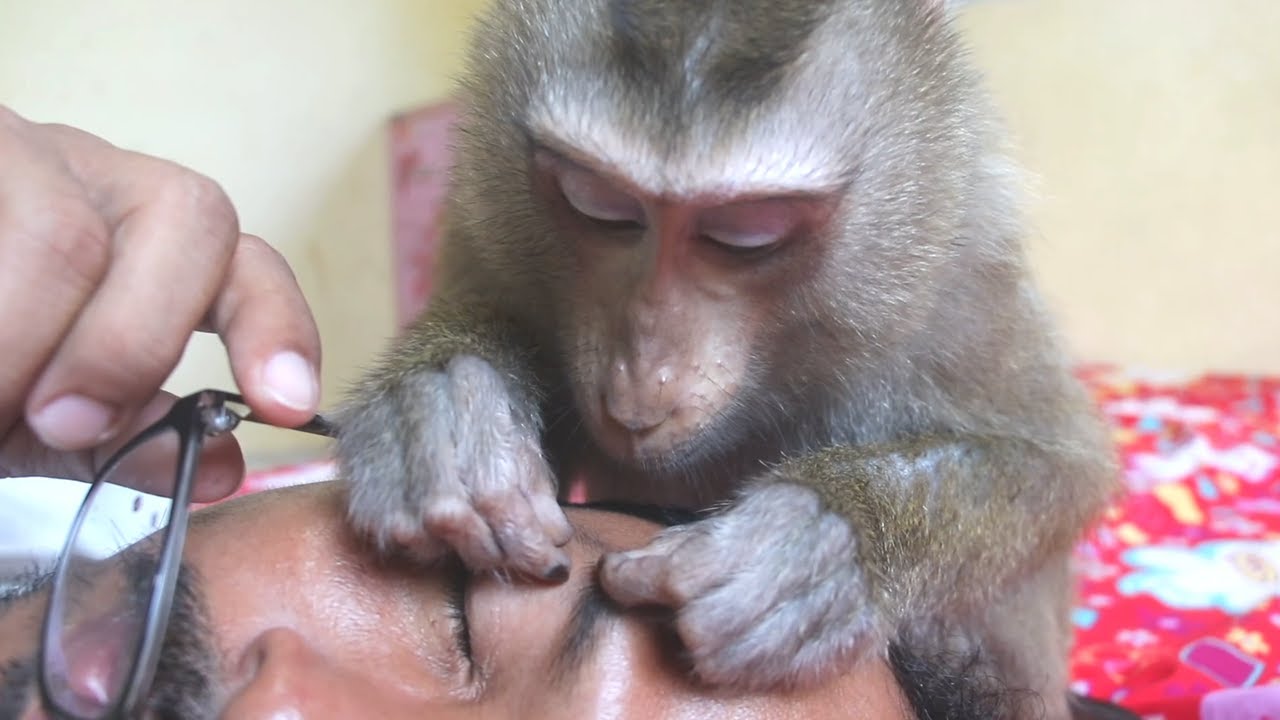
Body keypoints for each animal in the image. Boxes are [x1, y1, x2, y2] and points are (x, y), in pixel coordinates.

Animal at [333, 0, 1119, 716]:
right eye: (598, 205)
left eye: (745, 235)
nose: (642, 382)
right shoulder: (488, 223)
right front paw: (443, 407)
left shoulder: (959, 270)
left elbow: (1062, 469)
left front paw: (822, 547)